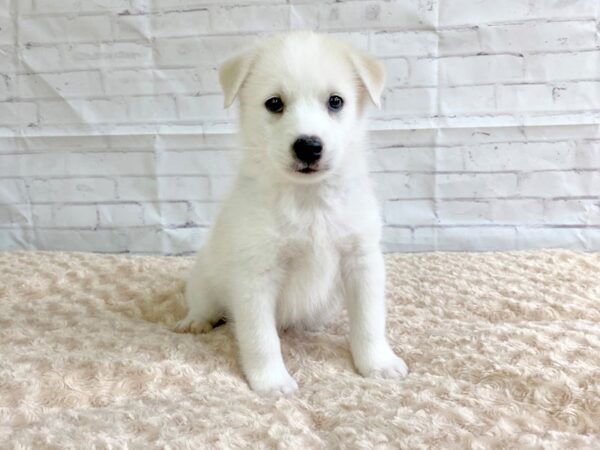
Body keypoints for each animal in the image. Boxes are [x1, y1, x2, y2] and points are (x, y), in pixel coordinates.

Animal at [175, 31, 408, 396]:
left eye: (336, 101)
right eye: (274, 103)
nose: (309, 146)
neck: (308, 199)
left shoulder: (362, 261)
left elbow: (370, 321)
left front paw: (378, 363)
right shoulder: (255, 275)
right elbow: (261, 338)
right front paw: (272, 382)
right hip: (204, 281)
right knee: (203, 304)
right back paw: (196, 322)